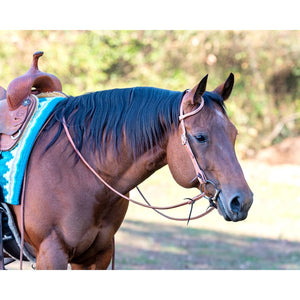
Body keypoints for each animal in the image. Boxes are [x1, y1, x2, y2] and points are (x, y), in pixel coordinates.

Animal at [7, 73, 252, 270]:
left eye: (234, 134)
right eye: (200, 137)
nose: (242, 201)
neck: (75, 169)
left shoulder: (96, 256)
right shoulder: (51, 255)